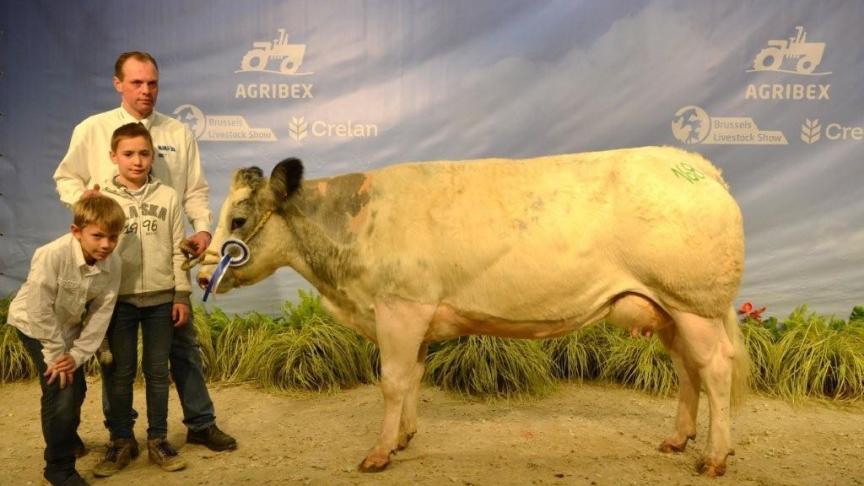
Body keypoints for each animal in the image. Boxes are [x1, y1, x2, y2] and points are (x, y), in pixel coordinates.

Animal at [197, 146, 748, 476]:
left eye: (238, 219)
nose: (202, 275)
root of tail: (697, 165)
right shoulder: (415, 317)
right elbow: (413, 379)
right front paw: (404, 438)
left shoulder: (400, 307)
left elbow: (392, 381)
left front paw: (378, 453)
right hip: (670, 310)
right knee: (688, 371)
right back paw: (678, 440)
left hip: (693, 304)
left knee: (715, 368)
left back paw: (714, 457)